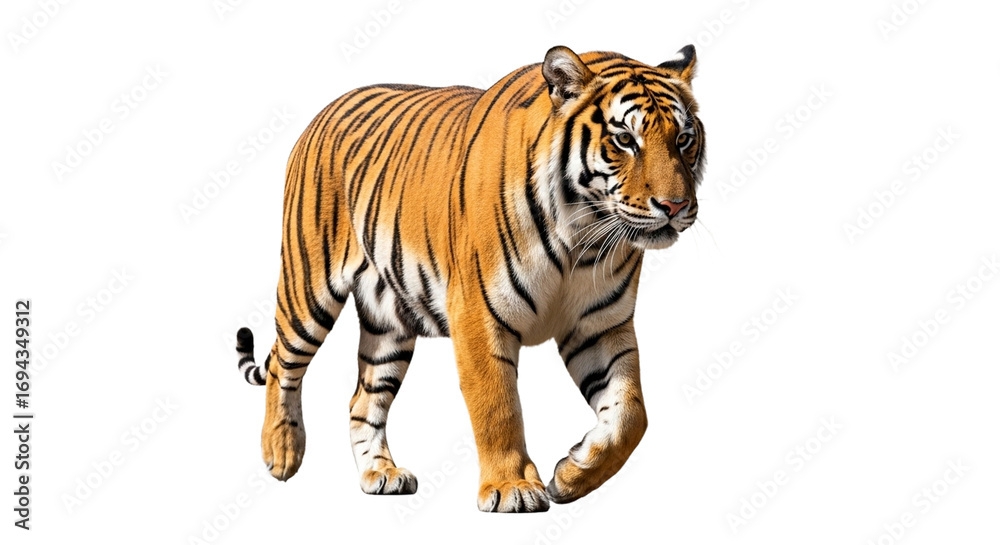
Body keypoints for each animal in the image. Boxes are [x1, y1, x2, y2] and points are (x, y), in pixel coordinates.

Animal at [234, 44, 705, 513]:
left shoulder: (601, 324)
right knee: (281, 362)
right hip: (308, 288)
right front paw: (512, 486)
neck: (584, 237)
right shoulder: (479, 315)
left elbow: (631, 413)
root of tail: (327, 109)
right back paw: (281, 451)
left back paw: (381, 474)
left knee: (362, 399)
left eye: (684, 139)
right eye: (625, 140)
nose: (675, 205)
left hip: (389, 324)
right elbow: (498, 405)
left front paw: (575, 473)